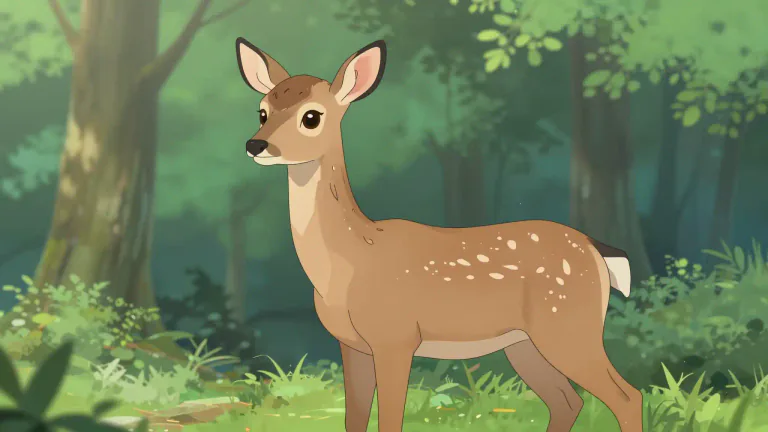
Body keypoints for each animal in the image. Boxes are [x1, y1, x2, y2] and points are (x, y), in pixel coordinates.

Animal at [234, 37, 643, 432]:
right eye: (262, 111)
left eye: (311, 116)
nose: (255, 145)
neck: (348, 262)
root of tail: (596, 249)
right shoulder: (351, 345)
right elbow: (355, 418)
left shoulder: (395, 337)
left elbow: (391, 419)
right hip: (525, 343)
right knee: (567, 401)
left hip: (569, 324)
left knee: (627, 396)